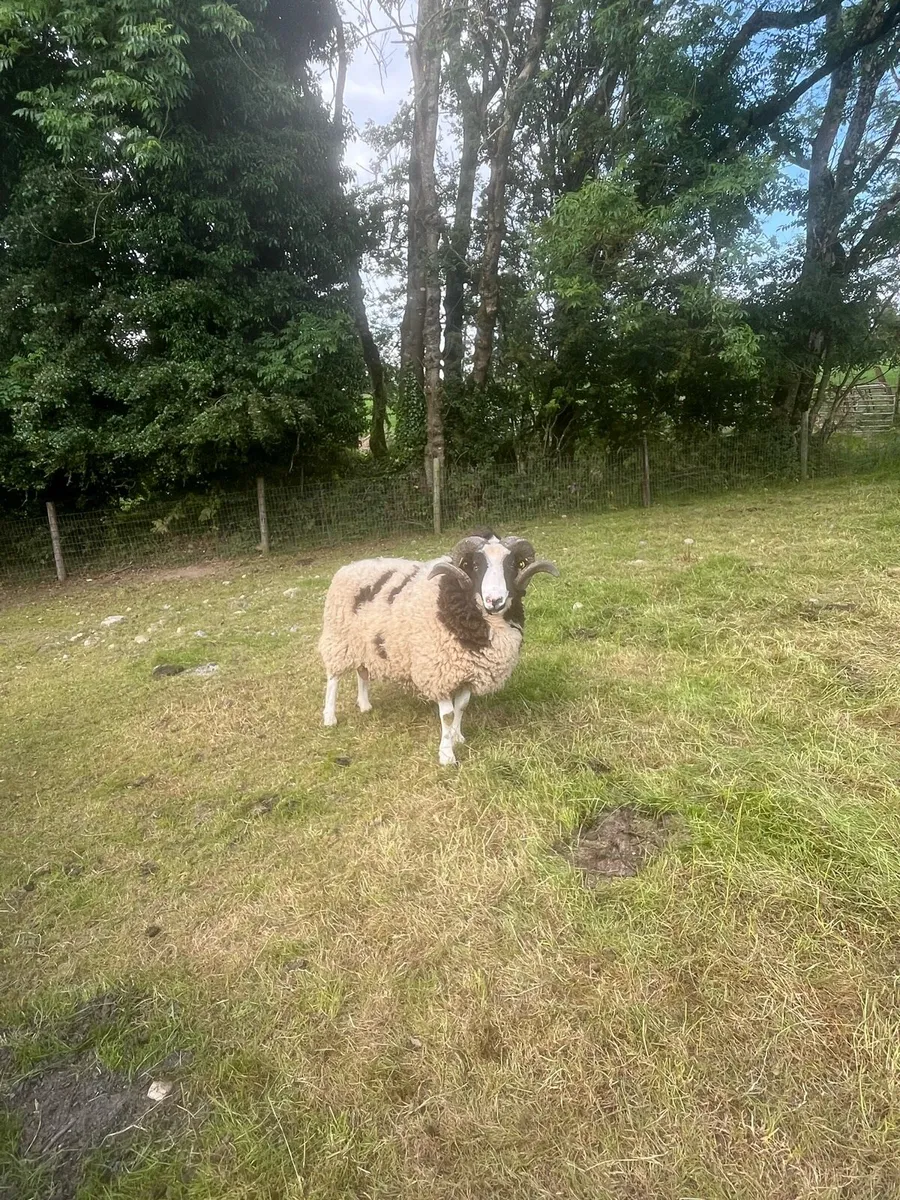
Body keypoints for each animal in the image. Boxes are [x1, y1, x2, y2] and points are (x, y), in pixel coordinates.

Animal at [318, 529, 558, 765]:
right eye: (476, 566)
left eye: (511, 566)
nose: (495, 600)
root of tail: (350, 566)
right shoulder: (439, 671)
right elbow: (448, 715)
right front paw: (447, 755)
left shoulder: (468, 671)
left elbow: (461, 707)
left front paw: (457, 737)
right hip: (338, 639)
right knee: (333, 678)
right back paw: (330, 717)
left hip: (363, 643)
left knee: (362, 671)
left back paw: (365, 705)